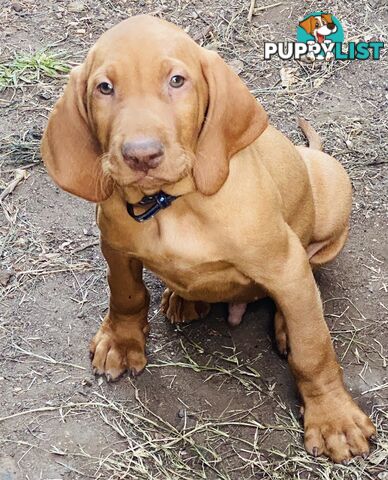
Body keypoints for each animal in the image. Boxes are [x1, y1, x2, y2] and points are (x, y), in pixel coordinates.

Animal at [41, 15, 376, 464]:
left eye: (177, 80)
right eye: (104, 87)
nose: (141, 156)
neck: (171, 203)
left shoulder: (285, 266)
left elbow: (313, 349)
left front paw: (333, 419)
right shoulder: (116, 247)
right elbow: (125, 295)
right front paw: (122, 341)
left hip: (333, 192)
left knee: (310, 278)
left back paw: (284, 322)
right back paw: (184, 298)